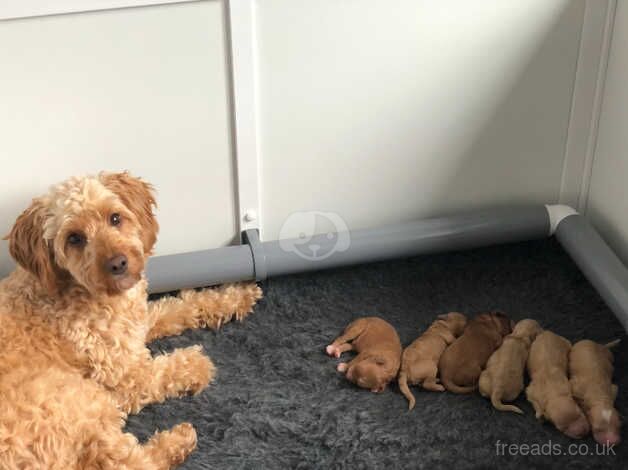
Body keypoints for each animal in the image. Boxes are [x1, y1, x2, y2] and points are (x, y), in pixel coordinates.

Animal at [0, 173, 262, 470]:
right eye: (74, 238)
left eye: (115, 218)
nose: (118, 263)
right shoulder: (127, 376)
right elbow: (164, 370)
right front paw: (197, 364)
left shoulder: (138, 321)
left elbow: (180, 306)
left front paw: (236, 296)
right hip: (75, 399)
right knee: (127, 462)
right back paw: (178, 439)